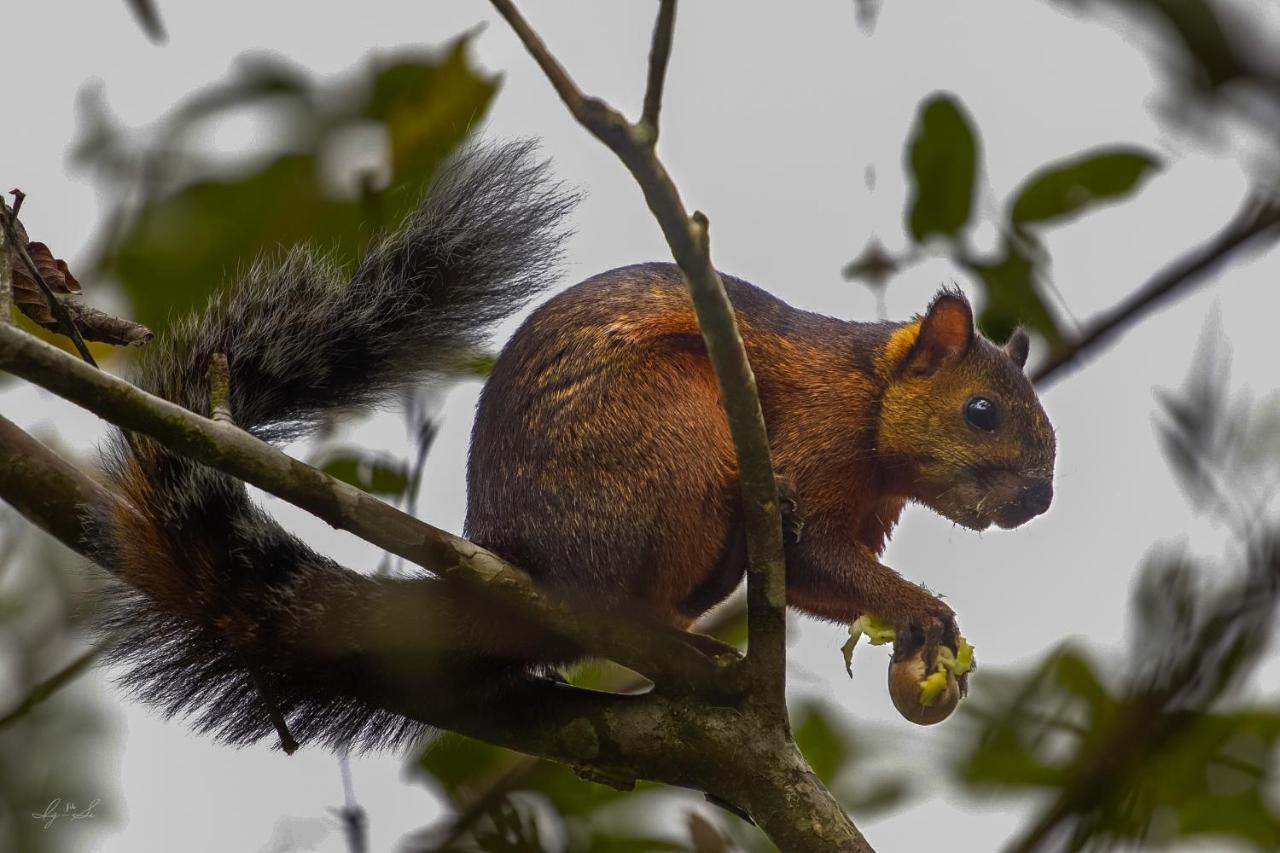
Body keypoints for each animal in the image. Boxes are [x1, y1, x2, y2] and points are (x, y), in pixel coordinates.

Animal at [87, 142, 1049, 747]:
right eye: (981, 412)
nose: (1037, 501)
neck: (871, 400)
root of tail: (516, 565)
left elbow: (818, 578)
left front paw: (923, 624)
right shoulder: (810, 440)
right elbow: (813, 550)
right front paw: (921, 610)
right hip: (667, 432)